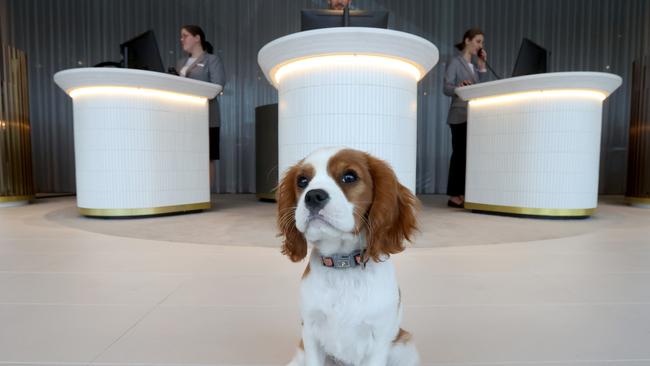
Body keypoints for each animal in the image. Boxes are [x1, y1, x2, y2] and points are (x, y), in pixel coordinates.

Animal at [276, 147, 418, 364]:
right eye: (302, 181)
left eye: (349, 177)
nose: (313, 196)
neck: (342, 266)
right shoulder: (310, 332)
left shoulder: (379, 340)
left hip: (405, 347)